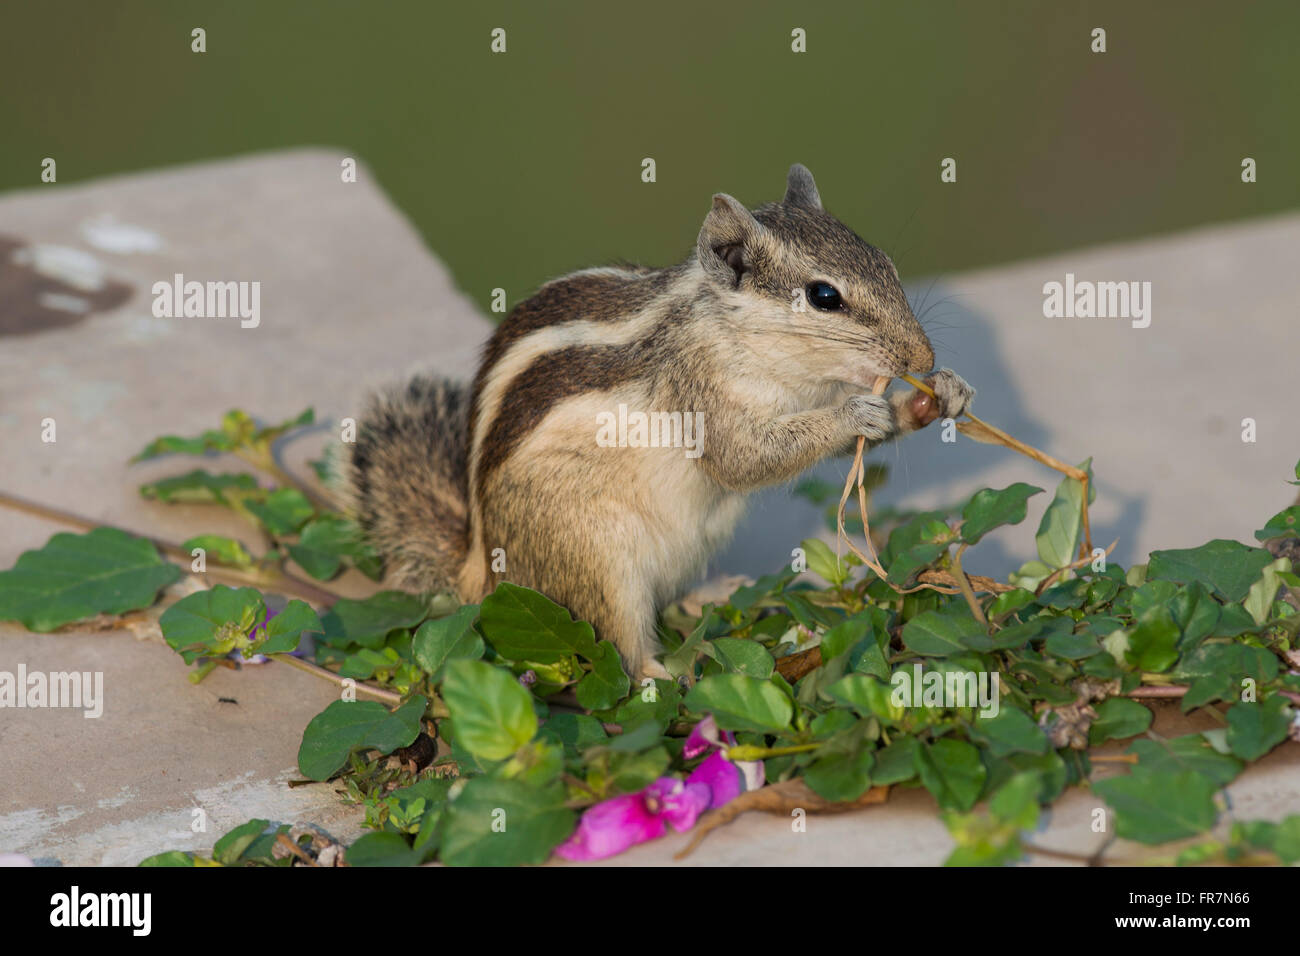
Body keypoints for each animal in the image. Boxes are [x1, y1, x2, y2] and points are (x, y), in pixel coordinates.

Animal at [335, 167, 977, 686]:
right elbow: (742, 460)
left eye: (887, 264)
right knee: (620, 646)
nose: (921, 357)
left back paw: (713, 594)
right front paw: (857, 413)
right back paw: (663, 673)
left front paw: (940, 396)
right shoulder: (700, 393)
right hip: (596, 556)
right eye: (824, 297)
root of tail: (480, 571)